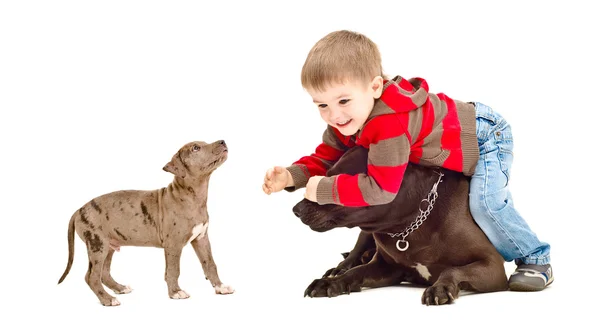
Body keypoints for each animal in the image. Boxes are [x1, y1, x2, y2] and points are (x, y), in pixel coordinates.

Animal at [56, 139, 234, 306]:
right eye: (196, 148)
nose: (222, 141)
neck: (193, 197)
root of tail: (79, 210)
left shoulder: (201, 238)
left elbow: (210, 263)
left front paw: (220, 287)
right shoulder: (173, 245)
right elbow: (173, 270)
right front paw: (175, 292)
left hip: (108, 246)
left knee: (104, 273)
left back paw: (120, 288)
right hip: (97, 244)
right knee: (92, 276)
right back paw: (108, 299)